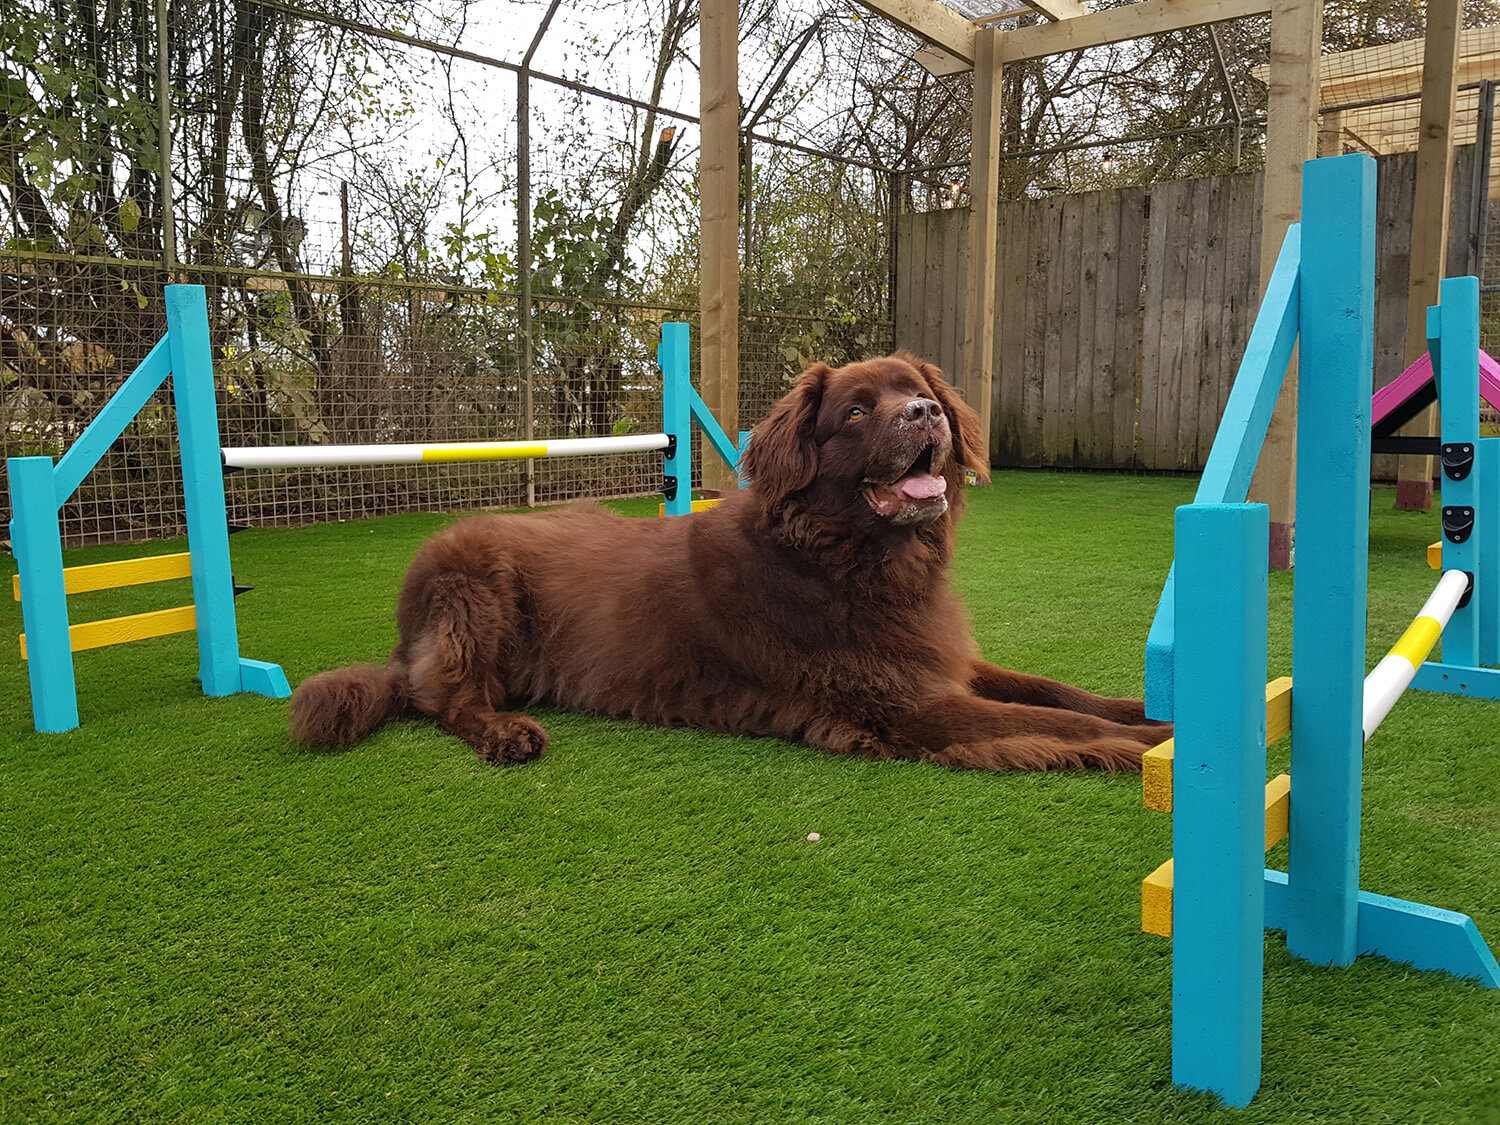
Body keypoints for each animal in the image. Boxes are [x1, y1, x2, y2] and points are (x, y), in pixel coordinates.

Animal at [286, 357, 1164, 774]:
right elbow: (1057, 723)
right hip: (471, 580)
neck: (848, 561)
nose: (924, 416)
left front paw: (1144, 707)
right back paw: (505, 732)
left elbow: (1058, 691)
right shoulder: (905, 703)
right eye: (857, 411)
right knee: (443, 699)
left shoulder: (939, 660)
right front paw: (1157, 744)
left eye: (922, 393)